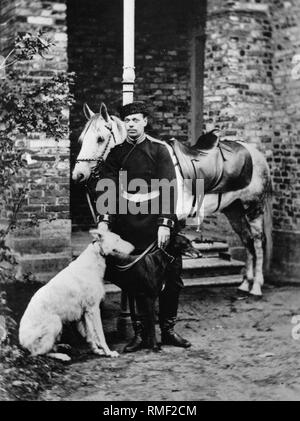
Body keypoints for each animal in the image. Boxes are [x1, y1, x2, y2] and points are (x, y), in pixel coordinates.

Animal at [19, 225, 135, 360]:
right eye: (117, 239)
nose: (134, 248)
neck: (94, 259)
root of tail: (22, 343)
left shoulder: (85, 312)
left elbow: (90, 335)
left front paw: (97, 350)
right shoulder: (94, 309)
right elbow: (100, 334)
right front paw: (108, 352)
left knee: (47, 348)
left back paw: (62, 346)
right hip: (55, 322)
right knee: (39, 353)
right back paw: (61, 355)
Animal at [72, 101, 272, 296]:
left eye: (100, 139)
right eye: (81, 140)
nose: (78, 175)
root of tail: (255, 152)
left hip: (253, 207)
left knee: (257, 241)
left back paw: (256, 286)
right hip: (234, 209)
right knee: (247, 239)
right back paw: (245, 283)